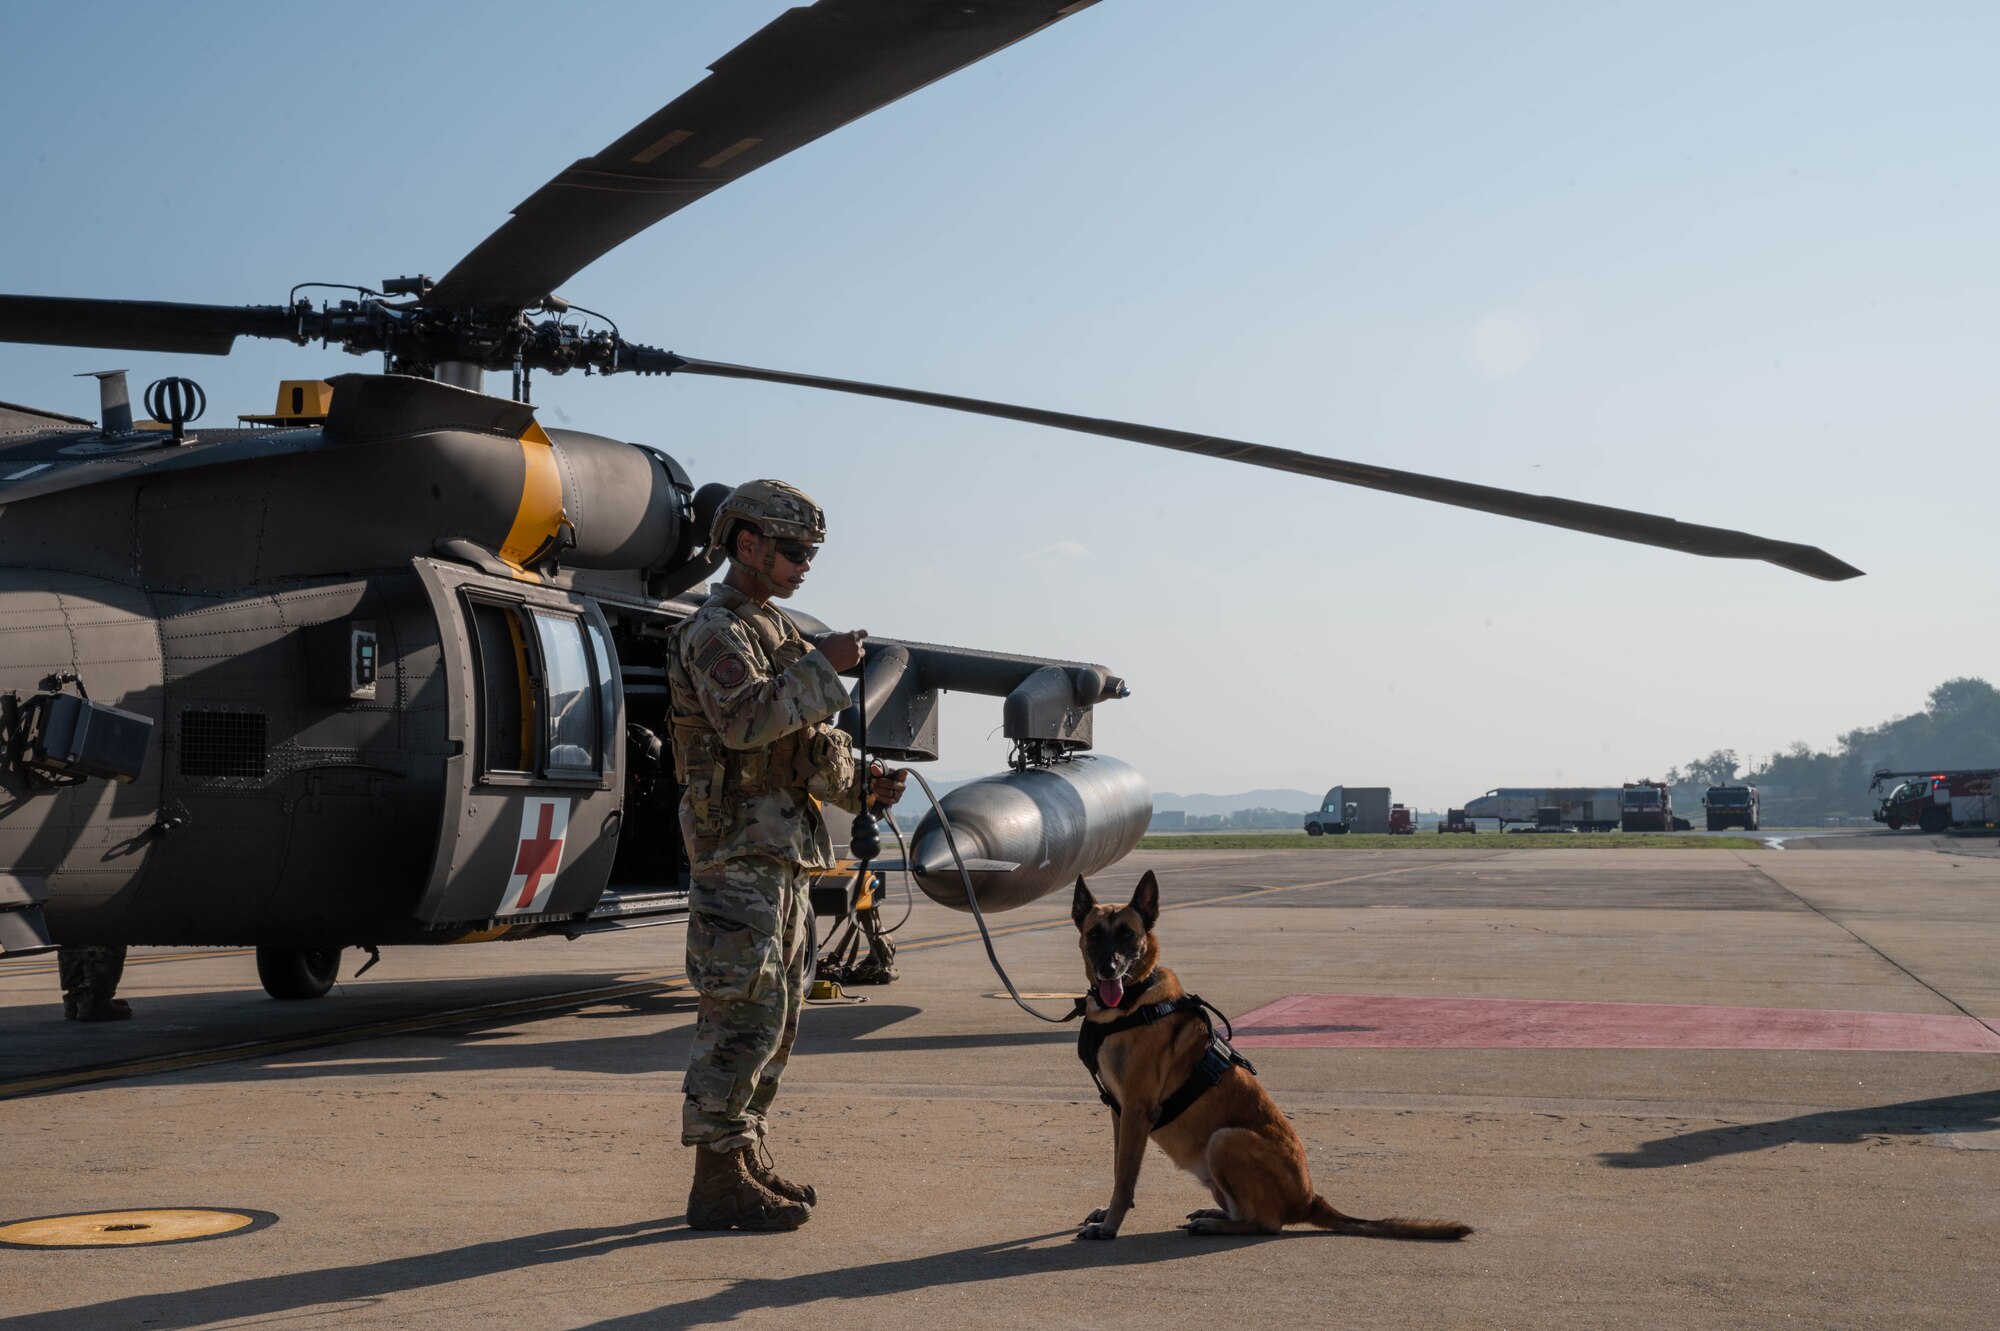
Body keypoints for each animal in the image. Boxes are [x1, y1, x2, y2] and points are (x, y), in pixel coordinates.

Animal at [1072, 867, 1480, 1239]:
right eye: (1094, 935)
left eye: (1128, 934)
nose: (1109, 968)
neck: (1132, 1002)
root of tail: (1310, 1200)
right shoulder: (1120, 1112)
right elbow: (1118, 1168)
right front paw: (1108, 1213)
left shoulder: (1136, 1111)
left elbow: (1125, 1177)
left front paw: (1110, 1225)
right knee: (1248, 1213)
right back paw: (1214, 1215)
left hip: (1226, 1139)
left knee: (1266, 1223)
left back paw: (1217, 1225)